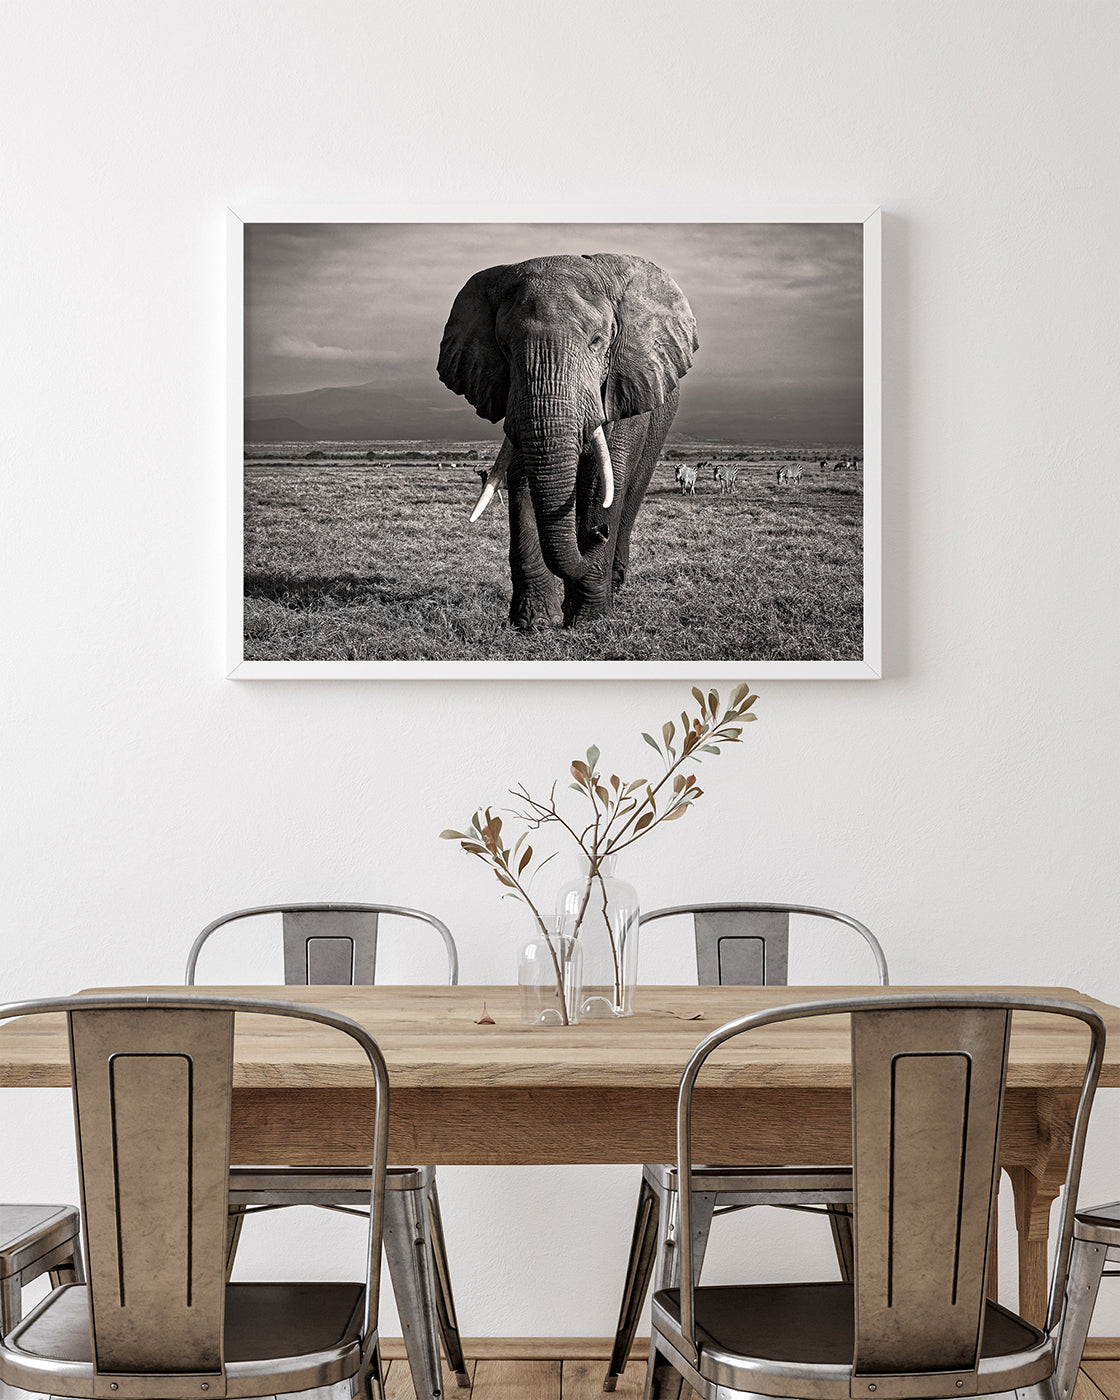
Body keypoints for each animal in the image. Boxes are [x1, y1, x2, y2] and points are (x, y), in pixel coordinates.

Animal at [437, 253, 698, 629]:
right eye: (504, 348)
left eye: (598, 341)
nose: (598, 533)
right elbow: (524, 475)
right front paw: (533, 623)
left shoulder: (623, 385)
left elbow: (603, 481)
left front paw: (589, 621)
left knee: (630, 492)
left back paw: (614, 581)